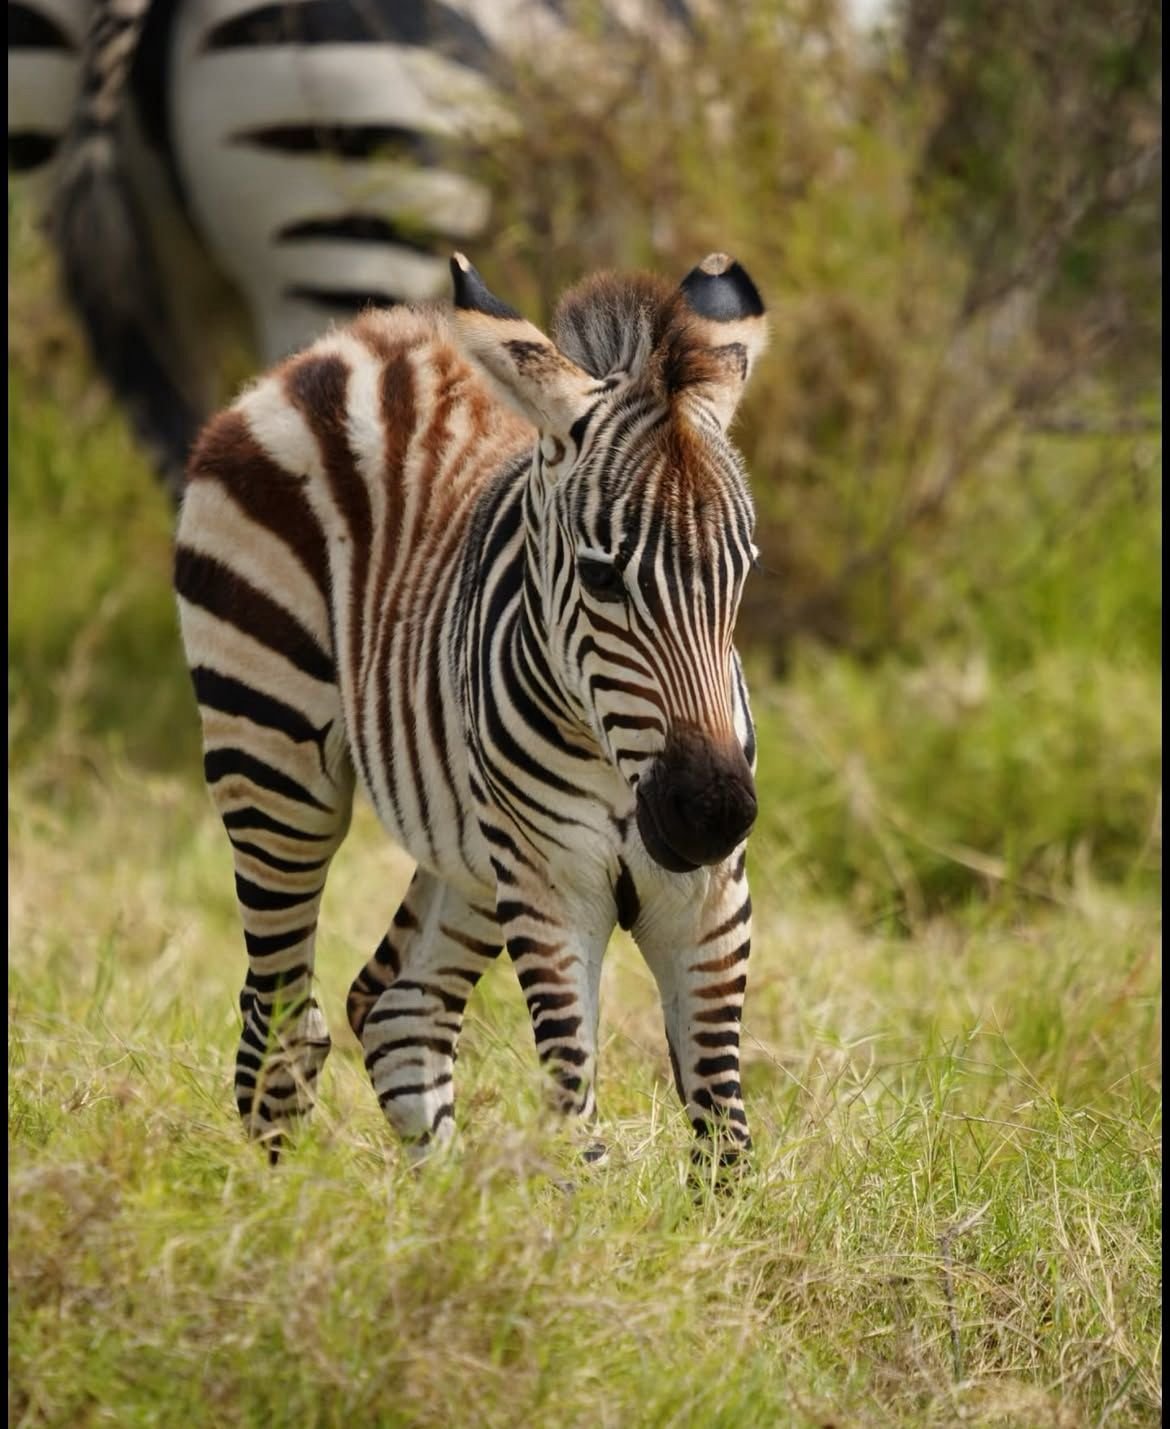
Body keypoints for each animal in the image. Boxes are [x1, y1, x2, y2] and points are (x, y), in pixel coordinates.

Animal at [174, 247, 767, 1165]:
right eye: (601, 577)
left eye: (744, 570)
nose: (712, 813)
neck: (616, 761)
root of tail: (351, 344)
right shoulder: (554, 887)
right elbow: (576, 1120)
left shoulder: (708, 903)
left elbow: (725, 1132)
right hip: (275, 761)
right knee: (280, 1028)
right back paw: (279, 1196)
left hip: (468, 841)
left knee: (395, 1009)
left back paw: (443, 1198)